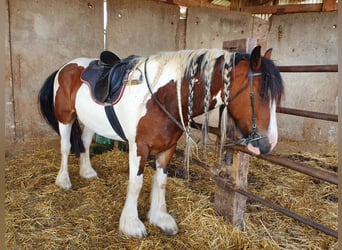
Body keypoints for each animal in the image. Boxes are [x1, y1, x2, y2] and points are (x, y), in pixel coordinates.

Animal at [38, 46, 284, 238]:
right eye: (259, 93)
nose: (268, 144)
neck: (161, 96)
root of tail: (65, 67)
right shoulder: (139, 148)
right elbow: (136, 184)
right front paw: (131, 225)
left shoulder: (167, 148)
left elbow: (161, 181)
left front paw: (160, 218)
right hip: (65, 117)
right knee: (66, 147)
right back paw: (64, 181)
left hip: (91, 121)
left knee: (86, 142)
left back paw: (87, 171)